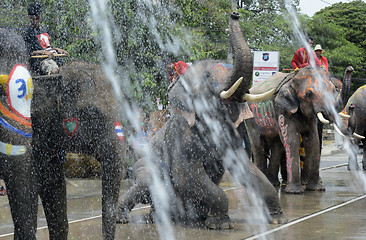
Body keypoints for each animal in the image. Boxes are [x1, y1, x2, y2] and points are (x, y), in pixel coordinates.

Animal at [116, 11, 288, 229]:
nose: (235, 13)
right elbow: (186, 175)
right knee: (145, 184)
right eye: (207, 75)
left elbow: (245, 168)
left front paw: (278, 220)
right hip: (142, 168)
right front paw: (221, 224)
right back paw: (124, 218)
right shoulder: (180, 132)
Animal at [247, 66, 354, 194]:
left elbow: (314, 141)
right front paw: (295, 192)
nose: (350, 68)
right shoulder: (283, 110)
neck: (293, 81)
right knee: (258, 144)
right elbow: (292, 140)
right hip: (251, 119)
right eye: (308, 94)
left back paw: (273, 183)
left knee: (277, 146)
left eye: (334, 90)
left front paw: (317, 189)